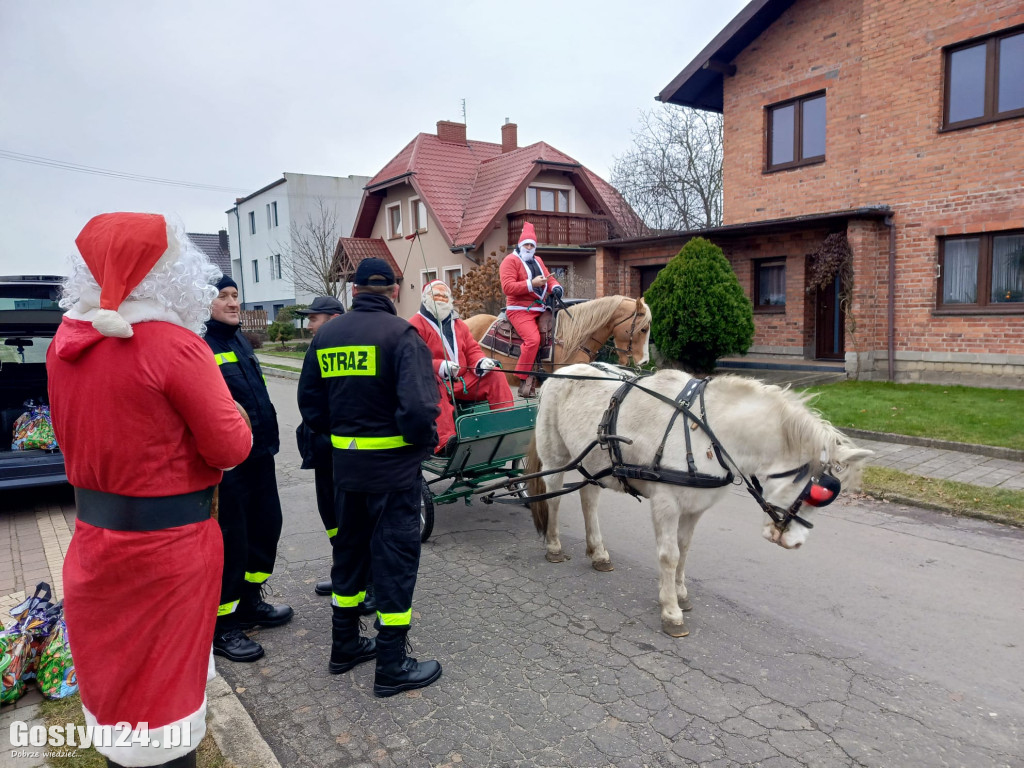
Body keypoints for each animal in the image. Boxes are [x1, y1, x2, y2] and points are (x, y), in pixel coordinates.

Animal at [528, 364, 872, 638]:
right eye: (817, 492)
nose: (798, 542)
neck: (709, 432)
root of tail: (560, 371)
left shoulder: (694, 506)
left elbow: (684, 549)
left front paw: (680, 594)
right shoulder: (666, 503)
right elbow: (669, 555)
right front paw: (671, 612)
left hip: (594, 462)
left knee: (589, 498)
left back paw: (598, 552)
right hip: (555, 456)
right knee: (554, 497)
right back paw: (554, 546)